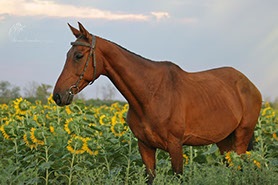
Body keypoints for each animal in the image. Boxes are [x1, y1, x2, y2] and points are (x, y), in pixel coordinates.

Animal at [53, 22, 262, 184]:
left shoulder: (175, 146)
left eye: (78, 55)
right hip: (224, 141)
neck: (151, 95)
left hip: (242, 137)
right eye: (67, 55)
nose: (58, 96)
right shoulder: (145, 146)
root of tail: (249, 84)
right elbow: (150, 178)